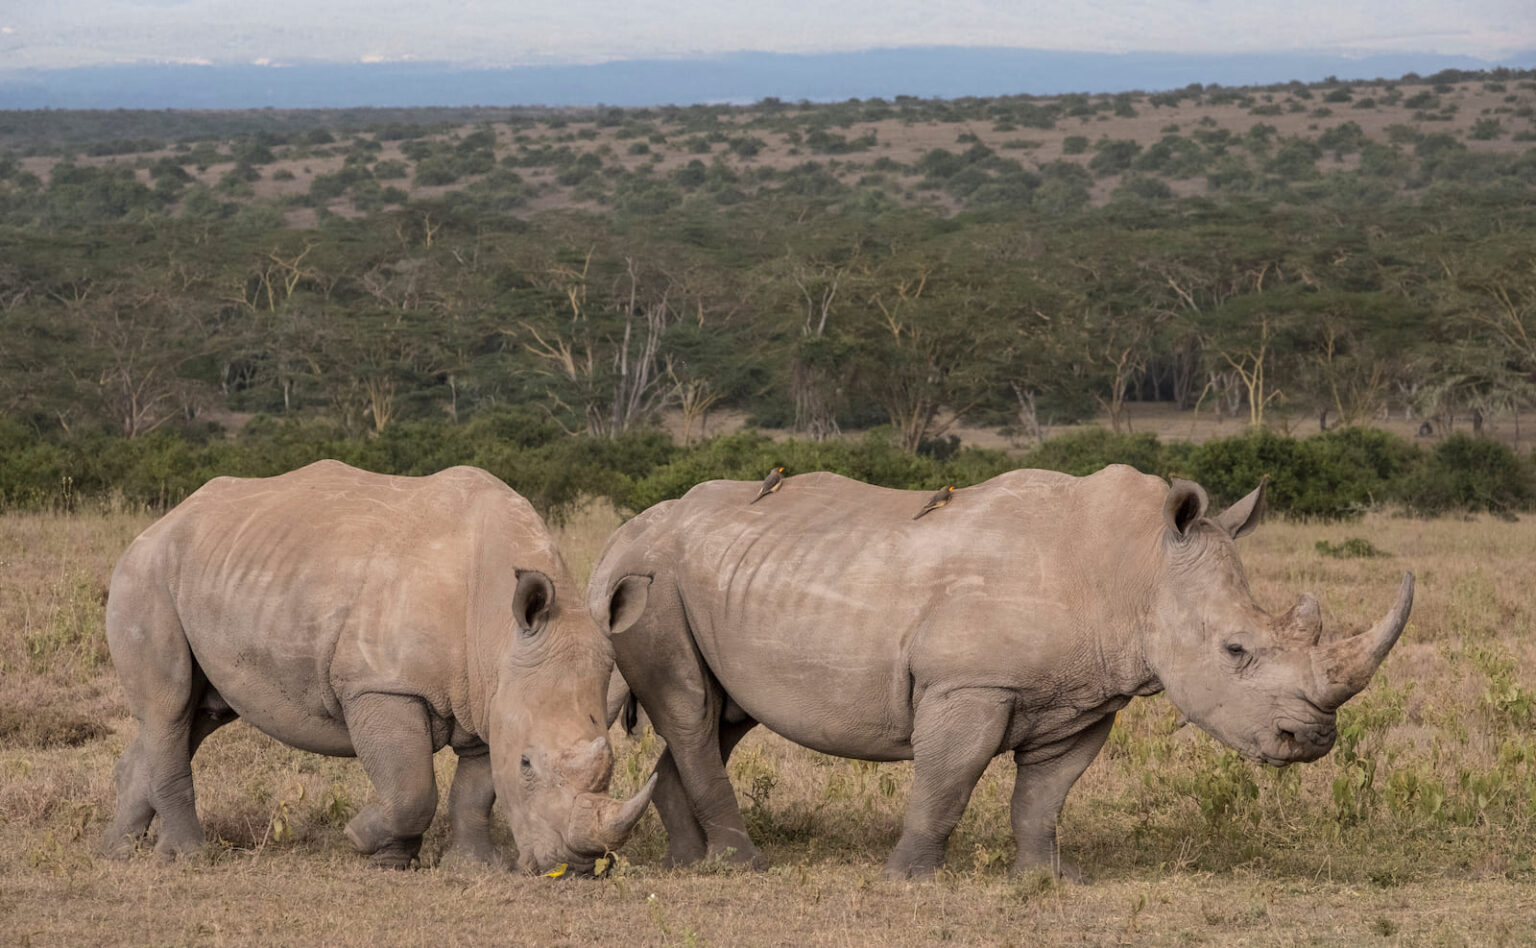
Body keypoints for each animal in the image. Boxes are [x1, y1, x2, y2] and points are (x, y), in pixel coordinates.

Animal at [102, 460, 655, 872]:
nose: (574, 868)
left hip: (218, 571)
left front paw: (473, 867)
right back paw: (187, 859)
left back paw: (115, 851)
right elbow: (411, 787)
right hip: (145, 575)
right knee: (170, 705)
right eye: (527, 765)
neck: (499, 630)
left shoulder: (491, 697)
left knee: (198, 714)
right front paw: (365, 843)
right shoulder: (382, 685)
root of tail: (160, 523)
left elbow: (474, 793)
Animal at [588, 465, 1414, 879]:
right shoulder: (969, 686)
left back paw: (689, 865)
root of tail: (627, 526)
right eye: (1236, 651)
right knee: (692, 712)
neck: (1139, 569)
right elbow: (948, 782)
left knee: (719, 718)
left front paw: (1048, 880)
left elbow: (1044, 796)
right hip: (651, 581)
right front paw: (909, 878)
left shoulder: (1086, 698)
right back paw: (744, 867)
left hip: (706, 580)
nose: (1312, 740)